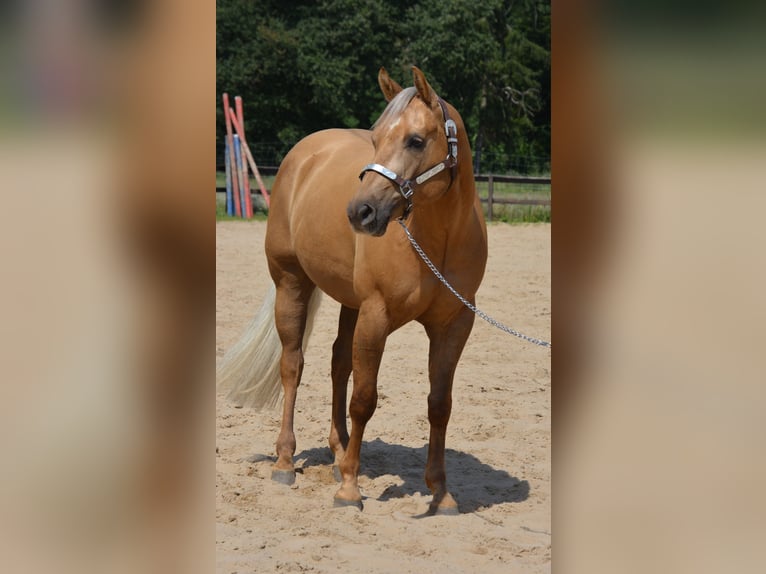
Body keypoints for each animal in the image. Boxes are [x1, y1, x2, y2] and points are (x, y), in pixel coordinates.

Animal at [219, 65, 488, 516]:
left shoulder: (455, 325)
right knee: (293, 366)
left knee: (337, 364)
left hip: (350, 303)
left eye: (416, 140)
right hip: (291, 282)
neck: (438, 239)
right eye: (376, 138)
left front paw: (441, 492)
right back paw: (286, 461)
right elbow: (363, 399)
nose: (360, 212)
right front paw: (349, 489)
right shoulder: (376, 316)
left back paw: (339, 452)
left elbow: (439, 404)